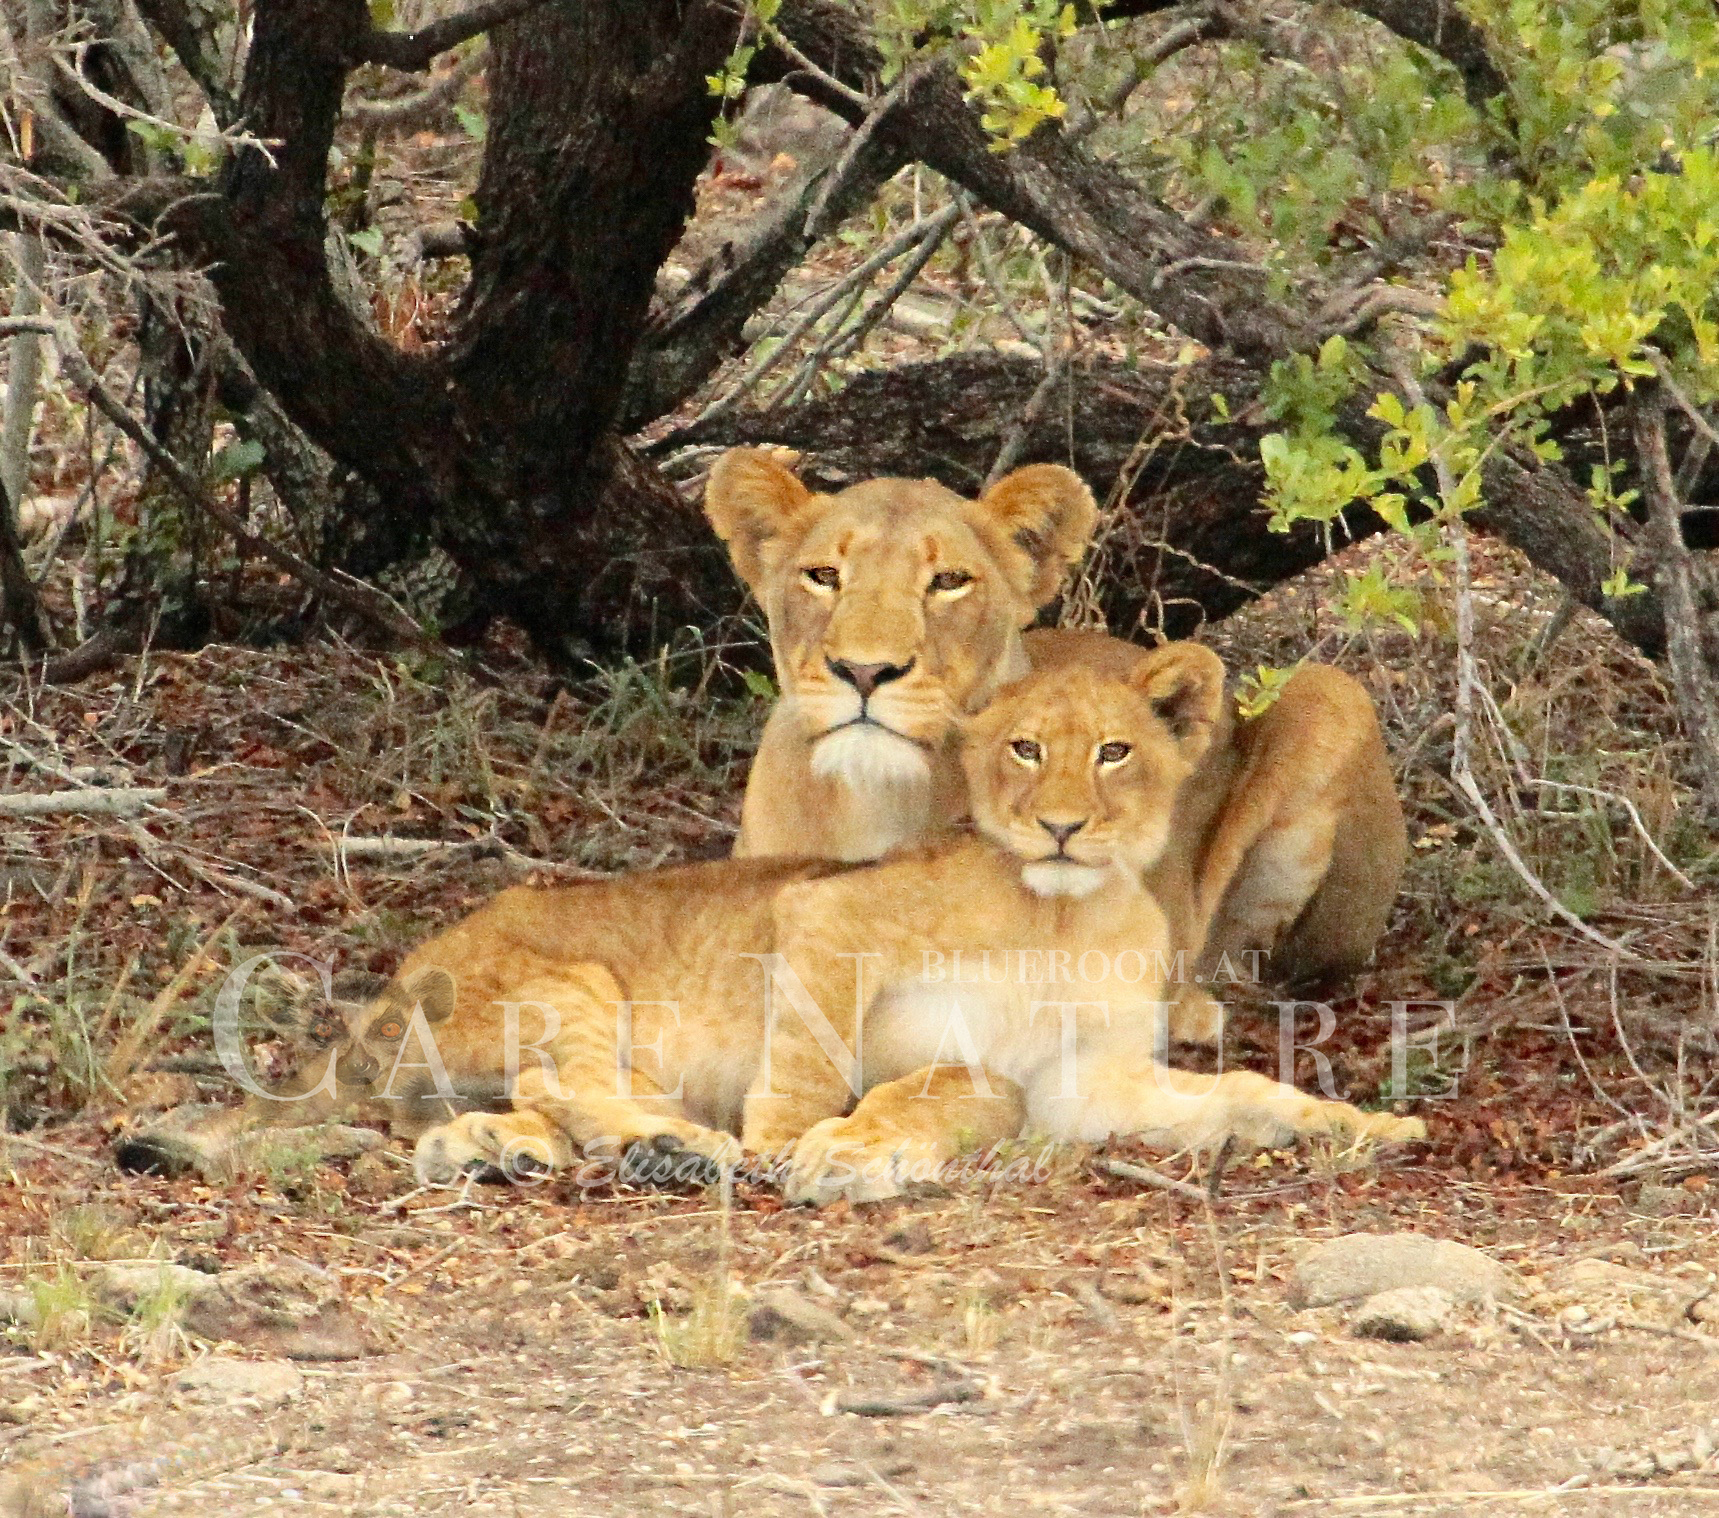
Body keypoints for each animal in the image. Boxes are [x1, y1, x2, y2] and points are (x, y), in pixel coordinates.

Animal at [121, 648, 1424, 1202]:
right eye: (1022, 750)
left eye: (1113, 753)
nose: (1059, 826)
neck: (1063, 910)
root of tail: (391, 983)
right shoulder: (825, 912)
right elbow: (819, 1062)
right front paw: (809, 1148)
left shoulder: (1085, 1084)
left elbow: (1239, 1094)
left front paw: (1363, 1126)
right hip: (569, 981)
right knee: (563, 1082)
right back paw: (676, 1149)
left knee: (466, 1121)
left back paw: (511, 1153)